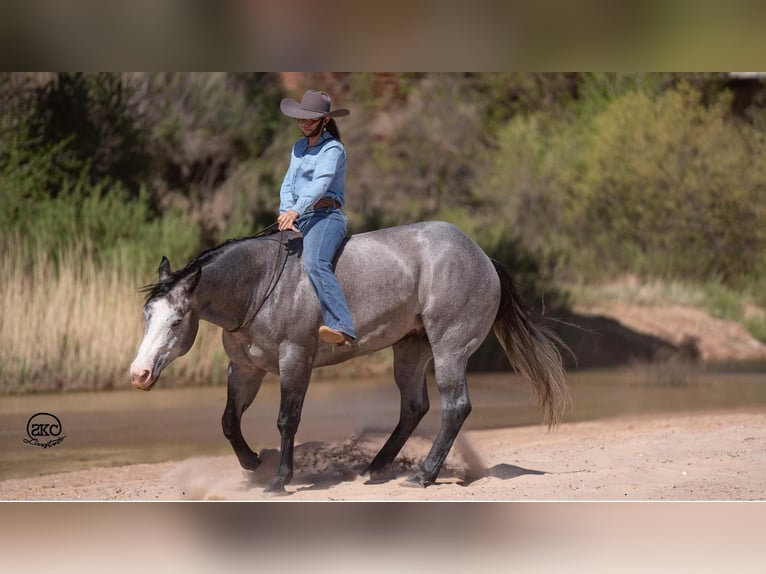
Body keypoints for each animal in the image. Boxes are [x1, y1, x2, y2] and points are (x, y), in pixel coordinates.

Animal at [129, 220, 568, 496]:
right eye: (147, 315)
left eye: (177, 320)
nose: (139, 373)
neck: (259, 288)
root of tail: (482, 257)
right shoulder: (245, 369)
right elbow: (229, 422)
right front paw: (252, 462)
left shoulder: (295, 360)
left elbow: (287, 420)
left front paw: (279, 480)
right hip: (410, 350)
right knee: (414, 407)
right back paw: (373, 469)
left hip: (449, 348)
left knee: (455, 406)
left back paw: (422, 476)